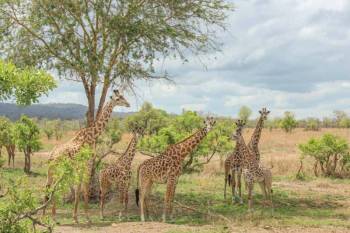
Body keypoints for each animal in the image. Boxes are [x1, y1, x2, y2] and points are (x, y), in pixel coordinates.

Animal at [42, 89, 130, 222]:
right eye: (118, 98)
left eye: (123, 96)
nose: (128, 104)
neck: (91, 136)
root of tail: (51, 155)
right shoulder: (87, 164)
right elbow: (84, 190)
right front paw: (86, 217)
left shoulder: (83, 166)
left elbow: (79, 189)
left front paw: (76, 216)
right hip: (59, 169)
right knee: (54, 186)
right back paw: (53, 217)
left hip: (51, 170)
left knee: (48, 186)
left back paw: (45, 216)